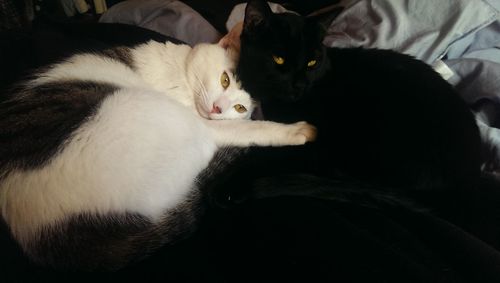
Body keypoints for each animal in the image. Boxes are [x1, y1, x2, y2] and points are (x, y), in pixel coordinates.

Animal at [0, 37, 314, 270]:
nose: (218, 109)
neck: (181, 72)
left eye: (239, 107)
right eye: (225, 80)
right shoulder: (210, 124)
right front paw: (297, 130)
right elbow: (251, 129)